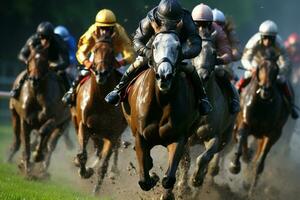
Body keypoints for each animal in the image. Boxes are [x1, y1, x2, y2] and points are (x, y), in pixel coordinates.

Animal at [8, 45, 70, 175]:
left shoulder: (53, 119)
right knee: (18, 140)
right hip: (14, 114)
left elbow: (43, 133)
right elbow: (26, 143)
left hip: (64, 123)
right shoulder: (25, 121)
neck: (37, 96)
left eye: (44, 61)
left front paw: (37, 156)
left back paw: (43, 167)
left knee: (51, 144)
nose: (34, 79)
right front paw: (26, 168)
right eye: (29, 59)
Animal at [74, 36, 127, 194]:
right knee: (96, 150)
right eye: (94, 50)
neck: (101, 102)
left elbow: (104, 165)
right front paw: (85, 171)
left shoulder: (113, 135)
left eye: (112, 52)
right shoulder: (85, 126)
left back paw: (112, 171)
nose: (101, 73)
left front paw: (96, 191)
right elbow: (82, 155)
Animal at [119, 31, 199, 200]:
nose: (164, 75)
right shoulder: (140, 137)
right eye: (154, 46)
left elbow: (168, 178)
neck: (161, 101)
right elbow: (144, 181)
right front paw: (153, 176)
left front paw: (165, 190)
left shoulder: (178, 138)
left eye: (177, 47)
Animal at [177, 30, 238, 192]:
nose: (202, 75)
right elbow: (185, 160)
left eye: (214, 52)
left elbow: (203, 157)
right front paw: (182, 185)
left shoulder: (213, 137)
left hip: (227, 134)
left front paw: (196, 179)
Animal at [229, 56, 290, 197]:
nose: (266, 90)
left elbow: (259, 164)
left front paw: (251, 191)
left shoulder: (272, 134)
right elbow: (241, 137)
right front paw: (234, 165)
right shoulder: (244, 122)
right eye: (260, 67)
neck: (263, 104)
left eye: (276, 69)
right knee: (242, 142)